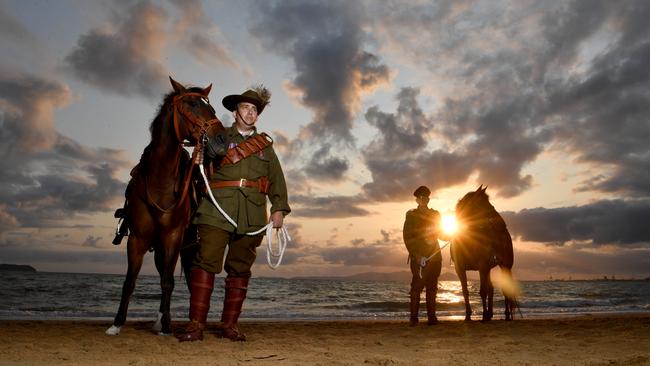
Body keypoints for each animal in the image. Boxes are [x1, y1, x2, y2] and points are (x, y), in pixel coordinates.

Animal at [106, 78, 225, 336]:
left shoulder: (173, 237)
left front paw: (168, 325)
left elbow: (169, 282)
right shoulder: (137, 239)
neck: (159, 180)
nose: (222, 140)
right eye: (191, 104)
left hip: (187, 247)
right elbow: (130, 281)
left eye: (211, 107)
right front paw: (117, 323)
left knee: (186, 279)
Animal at [450, 186, 516, 320]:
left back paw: (506, 314)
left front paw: (484, 315)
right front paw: (468, 315)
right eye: (484, 204)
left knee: (504, 288)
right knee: (491, 289)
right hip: (488, 269)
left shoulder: (482, 266)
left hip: (504, 266)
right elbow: (465, 291)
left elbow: (482, 291)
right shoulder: (460, 269)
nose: (502, 223)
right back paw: (491, 313)